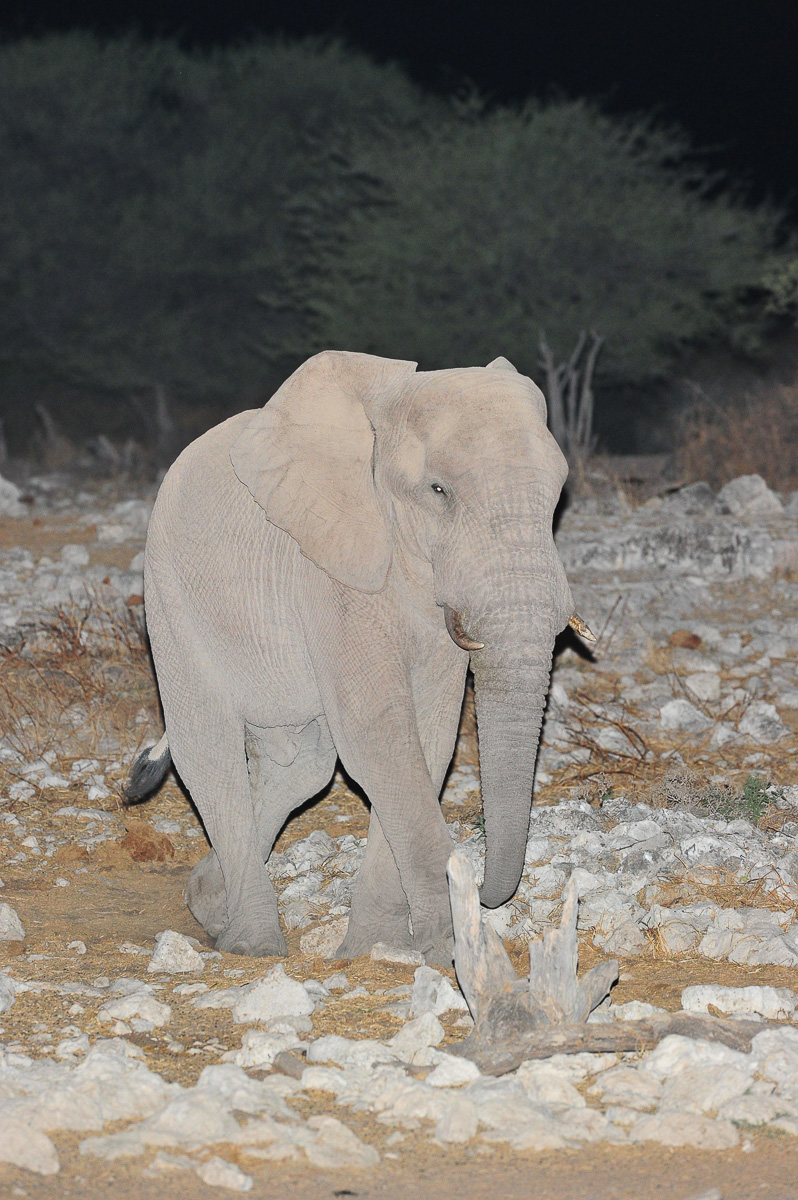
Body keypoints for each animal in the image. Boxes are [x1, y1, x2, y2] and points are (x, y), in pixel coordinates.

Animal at [125, 349, 584, 965]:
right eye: (438, 490)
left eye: (558, 494)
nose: (485, 890)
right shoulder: (329, 567)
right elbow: (380, 734)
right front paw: (450, 950)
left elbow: (430, 737)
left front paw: (376, 947)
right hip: (169, 592)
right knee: (209, 751)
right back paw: (253, 945)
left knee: (303, 764)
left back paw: (208, 904)